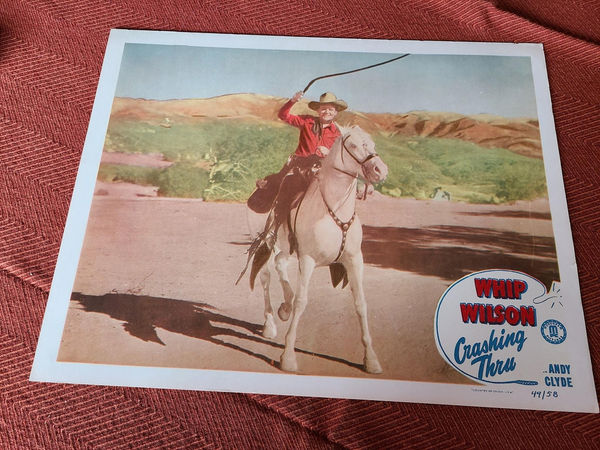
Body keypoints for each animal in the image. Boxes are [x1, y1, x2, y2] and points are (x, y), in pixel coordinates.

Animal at [246, 125, 386, 372]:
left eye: (372, 144)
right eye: (352, 145)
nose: (380, 170)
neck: (333, 211)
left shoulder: (354, 259)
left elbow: (361, 303)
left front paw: (371, 359)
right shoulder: (308, 259)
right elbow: (302, 302)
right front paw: (288, 357)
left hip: (286, 248)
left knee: (280, 265)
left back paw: (284, 307)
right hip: (266, 243)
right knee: (265, 277)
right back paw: (270, 323)